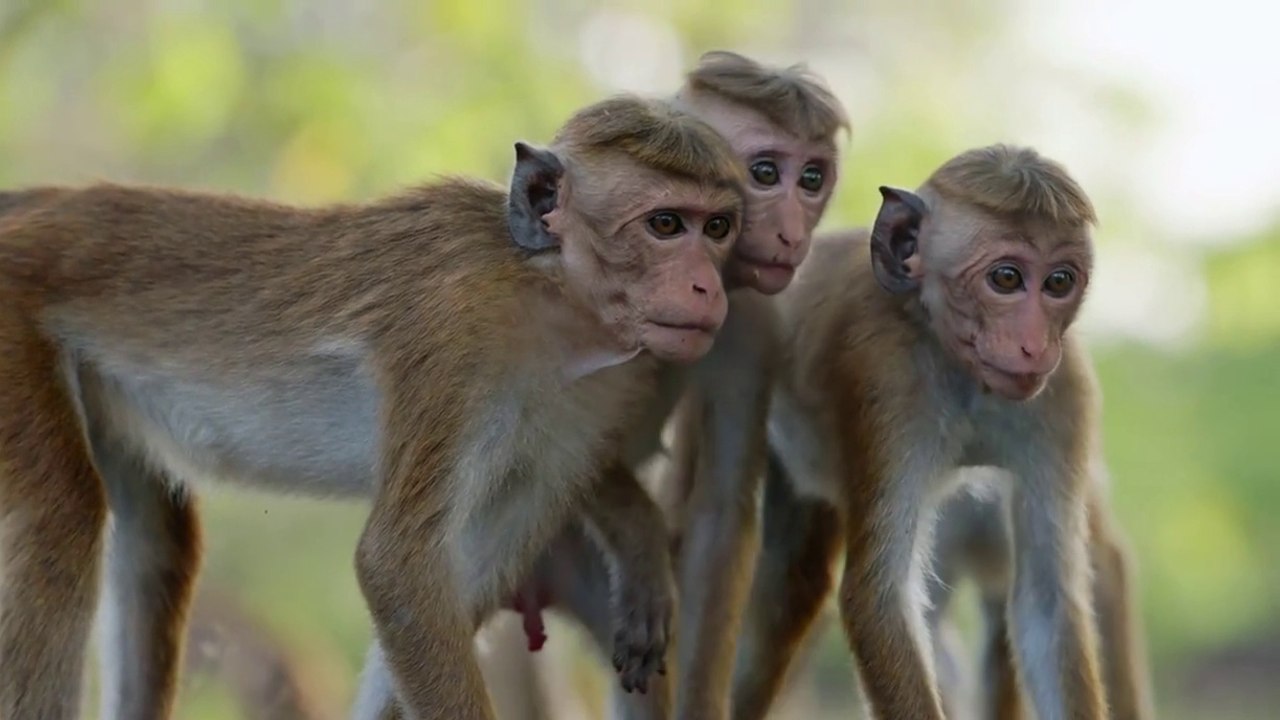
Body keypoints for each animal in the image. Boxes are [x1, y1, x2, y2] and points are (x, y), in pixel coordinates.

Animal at [0, 94, 749, 720]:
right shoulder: (455, 339)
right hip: (16, 333)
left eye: (717, 227)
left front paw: (637, 536)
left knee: (158, 537)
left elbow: (461, 580)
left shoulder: (592, 405)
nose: (708, 288)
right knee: (62, 514)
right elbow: (398, 568)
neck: (547, 294)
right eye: (664, 224)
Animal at [353, 50, 849, 720]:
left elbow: (721, 517)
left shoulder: (753, 322)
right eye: (767, 172)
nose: (794, 232)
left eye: (812, 179)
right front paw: (641, 540)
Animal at [724, 144, 1116, 720]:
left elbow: (1048, 605)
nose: (1034, 345)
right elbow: (878, 598)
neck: (965, 374)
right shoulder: (886, 379)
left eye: (1059, 283)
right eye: (1005, 279)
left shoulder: (1065, 396)